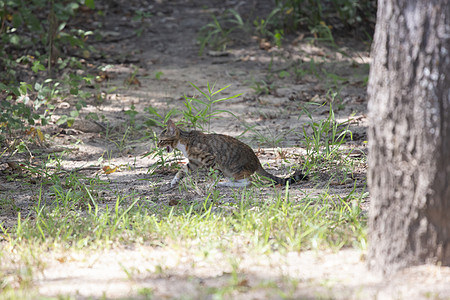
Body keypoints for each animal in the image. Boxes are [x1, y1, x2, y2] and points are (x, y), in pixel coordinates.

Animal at [156, 120, 308, 188]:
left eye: (161, 140)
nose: (157, 145)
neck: (185, 142)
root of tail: (257, 161)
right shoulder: (194, 162)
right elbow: (182, 170)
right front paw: (174, 180)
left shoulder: (209, 158)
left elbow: (213, 174)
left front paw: (211, 184)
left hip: (234, 169)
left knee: (248, 182)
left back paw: (225, 183)